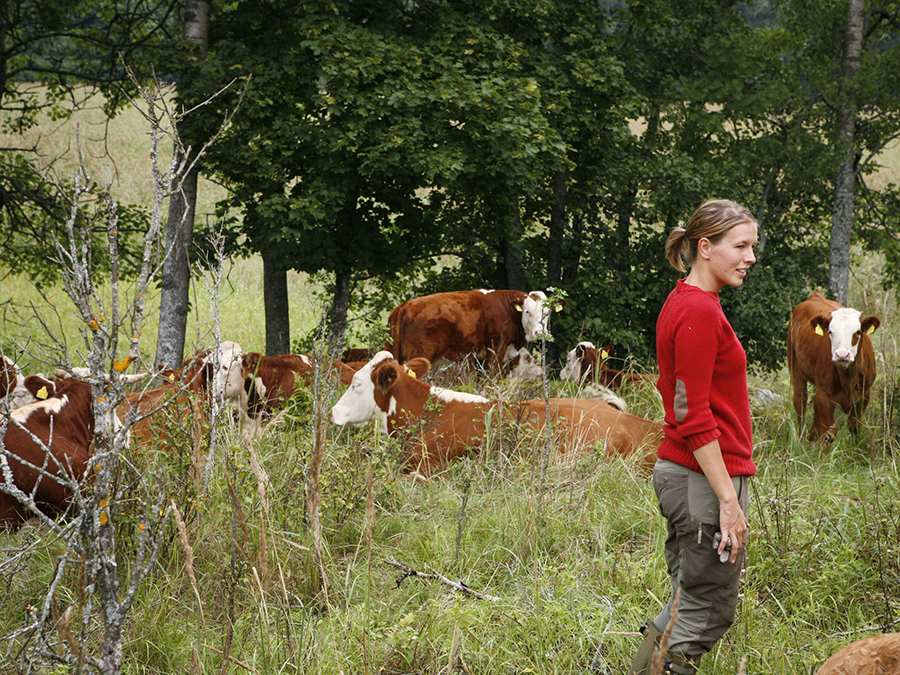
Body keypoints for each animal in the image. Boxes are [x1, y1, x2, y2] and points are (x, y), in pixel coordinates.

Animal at [386, 288, 564, 368]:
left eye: (548, 312)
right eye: (527, 311)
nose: (540, 332)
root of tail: (404, 306)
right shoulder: (496, 350)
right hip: (418, 355)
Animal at [788, 292, 880, 444]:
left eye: (858, 332)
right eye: (830, 331)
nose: (842, 354)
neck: (847, 377)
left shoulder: (865, 395)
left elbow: (855, 427)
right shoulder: (825, 396)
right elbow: (828, 431)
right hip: (795, 369)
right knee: (800, 401)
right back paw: (803, 440)